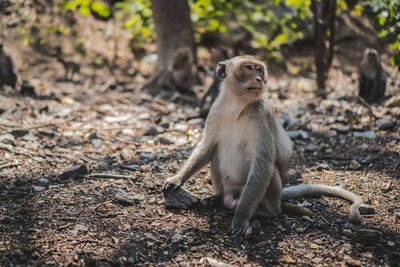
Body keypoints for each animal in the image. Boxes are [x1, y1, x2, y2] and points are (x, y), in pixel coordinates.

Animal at [164, 55, 364, 236]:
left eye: (259, 70)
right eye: (248, 67)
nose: (259, 78)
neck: (237, 106)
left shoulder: (261, 116)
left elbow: (263, 164)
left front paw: (241, 218)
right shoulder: (215, 111)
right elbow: (207, 147)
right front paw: (177, 179)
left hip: (259, 194)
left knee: (269, 174)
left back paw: (265, 212)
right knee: (215, 156)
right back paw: (218, 199)